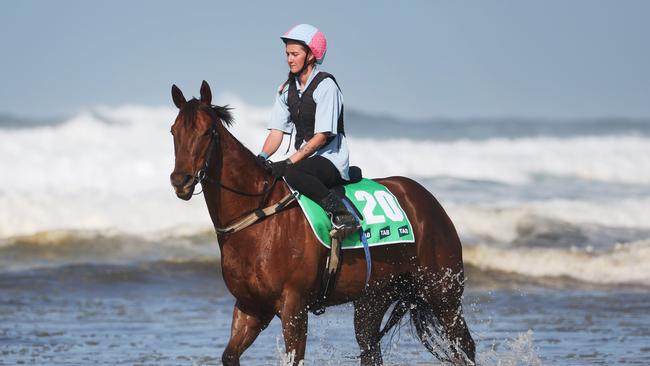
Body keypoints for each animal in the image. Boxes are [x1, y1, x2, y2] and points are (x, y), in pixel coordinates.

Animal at [167, 81, 474, 364]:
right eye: (174, 131)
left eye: (208, 132)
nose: (180, 181)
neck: (257, 217)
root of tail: (428, 201)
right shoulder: (251, 307)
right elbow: (230, 355)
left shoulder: (293, 307)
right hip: (373, 298)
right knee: (369, 348)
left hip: (443, 293)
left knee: (465, 345)